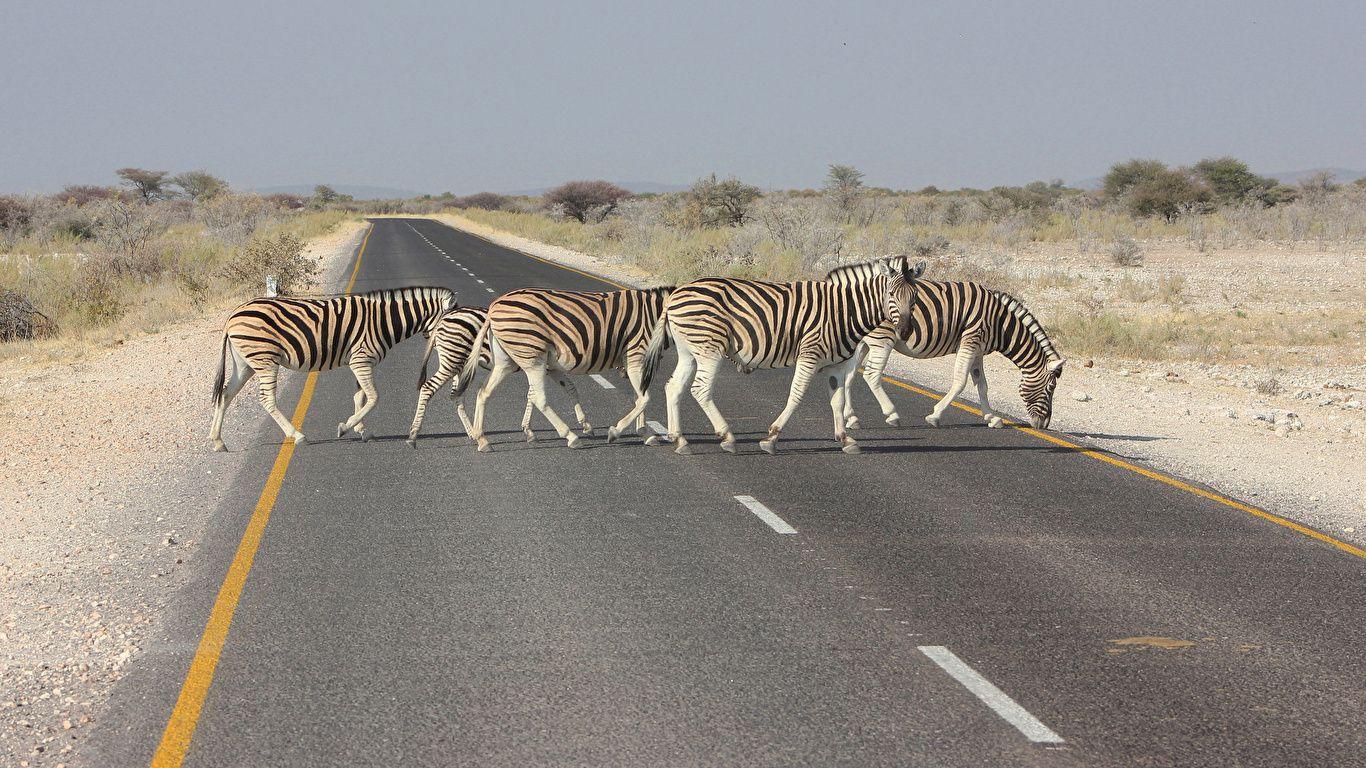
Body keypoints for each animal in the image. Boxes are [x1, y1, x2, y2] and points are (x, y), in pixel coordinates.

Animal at [210, 286, 455, 451]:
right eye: (449, 320)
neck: (384, 321)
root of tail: (233, 315)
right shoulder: (361, 360)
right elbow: (374, 397)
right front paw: (346, 427)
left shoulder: (360, 362)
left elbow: (360, 397)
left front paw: (361, 430)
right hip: (265, 359)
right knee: (266, 399)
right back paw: (297, 435)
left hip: (245, 363)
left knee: (225, 394)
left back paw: (218, 441)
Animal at [406, 305, 593, 446]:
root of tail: (443, 319)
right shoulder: (543, 367)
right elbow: (535, 395)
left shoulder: (547, 369)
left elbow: (567, 388)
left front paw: (584, 425)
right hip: (452, 359)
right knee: (428, 388)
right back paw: (414, 435)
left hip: (459, 364)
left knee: (456, 396)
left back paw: (473, 433)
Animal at [459, 286, 673, 452]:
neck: (656, 317)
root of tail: (494, 306)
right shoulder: (637, 356)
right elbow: (644, 399)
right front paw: (616, 431)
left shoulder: (634, 363)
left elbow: (639, 398)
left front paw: (645, 434)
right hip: (531, 357)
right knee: (539, 399)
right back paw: (571, 436)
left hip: (507, 361)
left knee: (483, 392)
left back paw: (482, 439)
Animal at [661, 257, 924, 455]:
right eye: (891, 293)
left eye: (914, 297)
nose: (905, 331)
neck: (844, 311)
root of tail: (676, 294)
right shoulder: (810, 354)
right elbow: (796, 396)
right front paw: (772, 438)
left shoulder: (837, 366)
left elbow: (837, 400)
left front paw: (845, 438)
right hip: (709, 348)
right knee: (700, 390)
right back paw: (727, 437)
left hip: (689, 351)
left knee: (674, 387)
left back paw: (679, 439)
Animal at [841, 281, 1065, 431]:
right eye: (1051, 388)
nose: (1044, 425)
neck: (1000, 323)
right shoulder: (970, 340)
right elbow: (960, 381)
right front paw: (935, 415)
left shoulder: (978, 349)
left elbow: (982, 385)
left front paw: (992, 418)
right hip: (882, 339)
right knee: (871, 375)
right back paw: (892, 414)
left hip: (864, 342)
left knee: (850, 376)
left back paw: (851, 418)